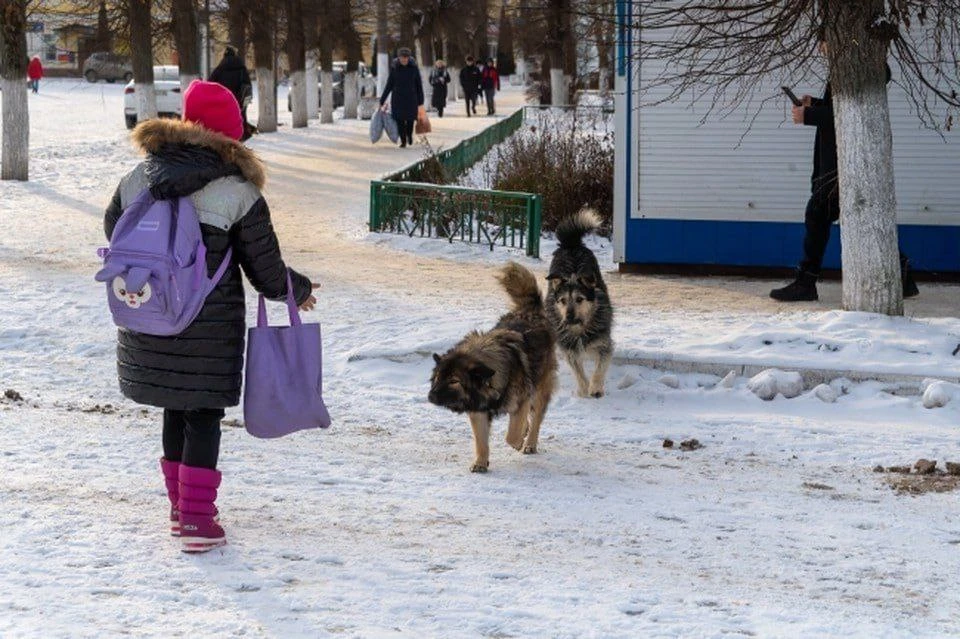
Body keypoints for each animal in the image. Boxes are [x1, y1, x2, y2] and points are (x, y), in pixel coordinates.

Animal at [428, 262, 556, 476]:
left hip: (539, 390)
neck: (490, 382)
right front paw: (481, 463)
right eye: (438, 377)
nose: (430, 397)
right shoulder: (478, 411)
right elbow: (481, 442)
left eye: (454, 381)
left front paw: (519, 441)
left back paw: (529, 443)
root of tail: (531, 310)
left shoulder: (521, 400)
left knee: (536, 419)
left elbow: (511, 436)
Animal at [544, 210, 612, 398]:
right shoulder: (568, 348)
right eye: (562, 300)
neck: (580, 327)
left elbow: (600, 367)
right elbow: (577, 370)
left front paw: (595, 387)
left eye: (580, 299)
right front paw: (583, 389)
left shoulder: (604, 343)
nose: (568, 317)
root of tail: (571, 244)